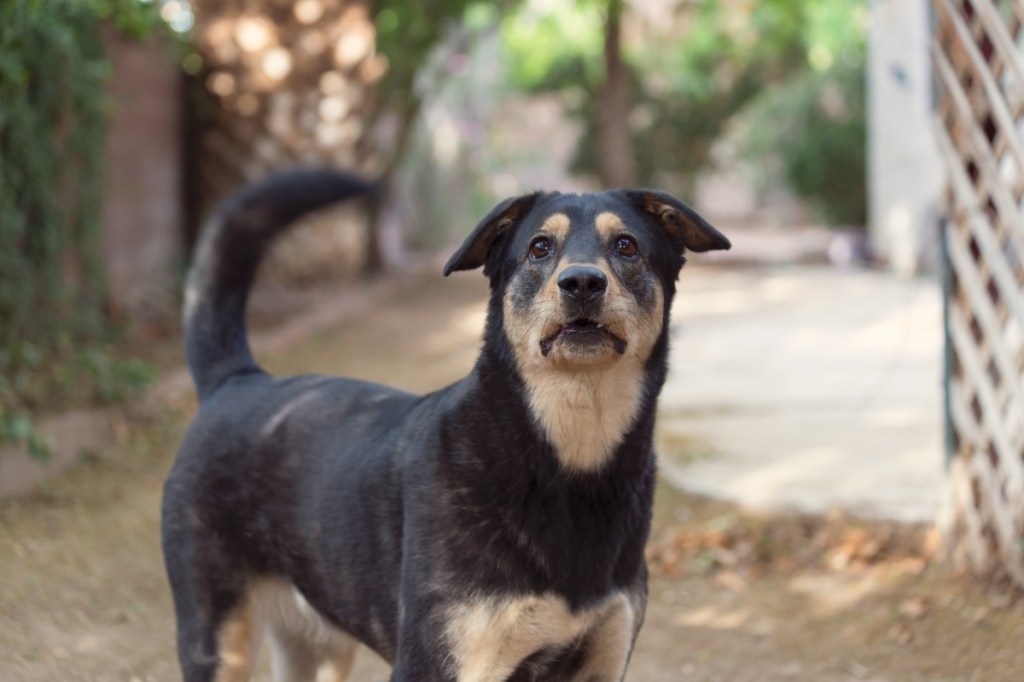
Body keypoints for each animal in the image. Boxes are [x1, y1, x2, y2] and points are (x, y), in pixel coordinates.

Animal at [161, 165, 729, 679]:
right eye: (540, 248)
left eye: (627, 246)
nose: (582, 282)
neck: (566, 460)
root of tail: (238, 380)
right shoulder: (439, 661)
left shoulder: (603, 659)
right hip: (216, 637)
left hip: (318, 648)